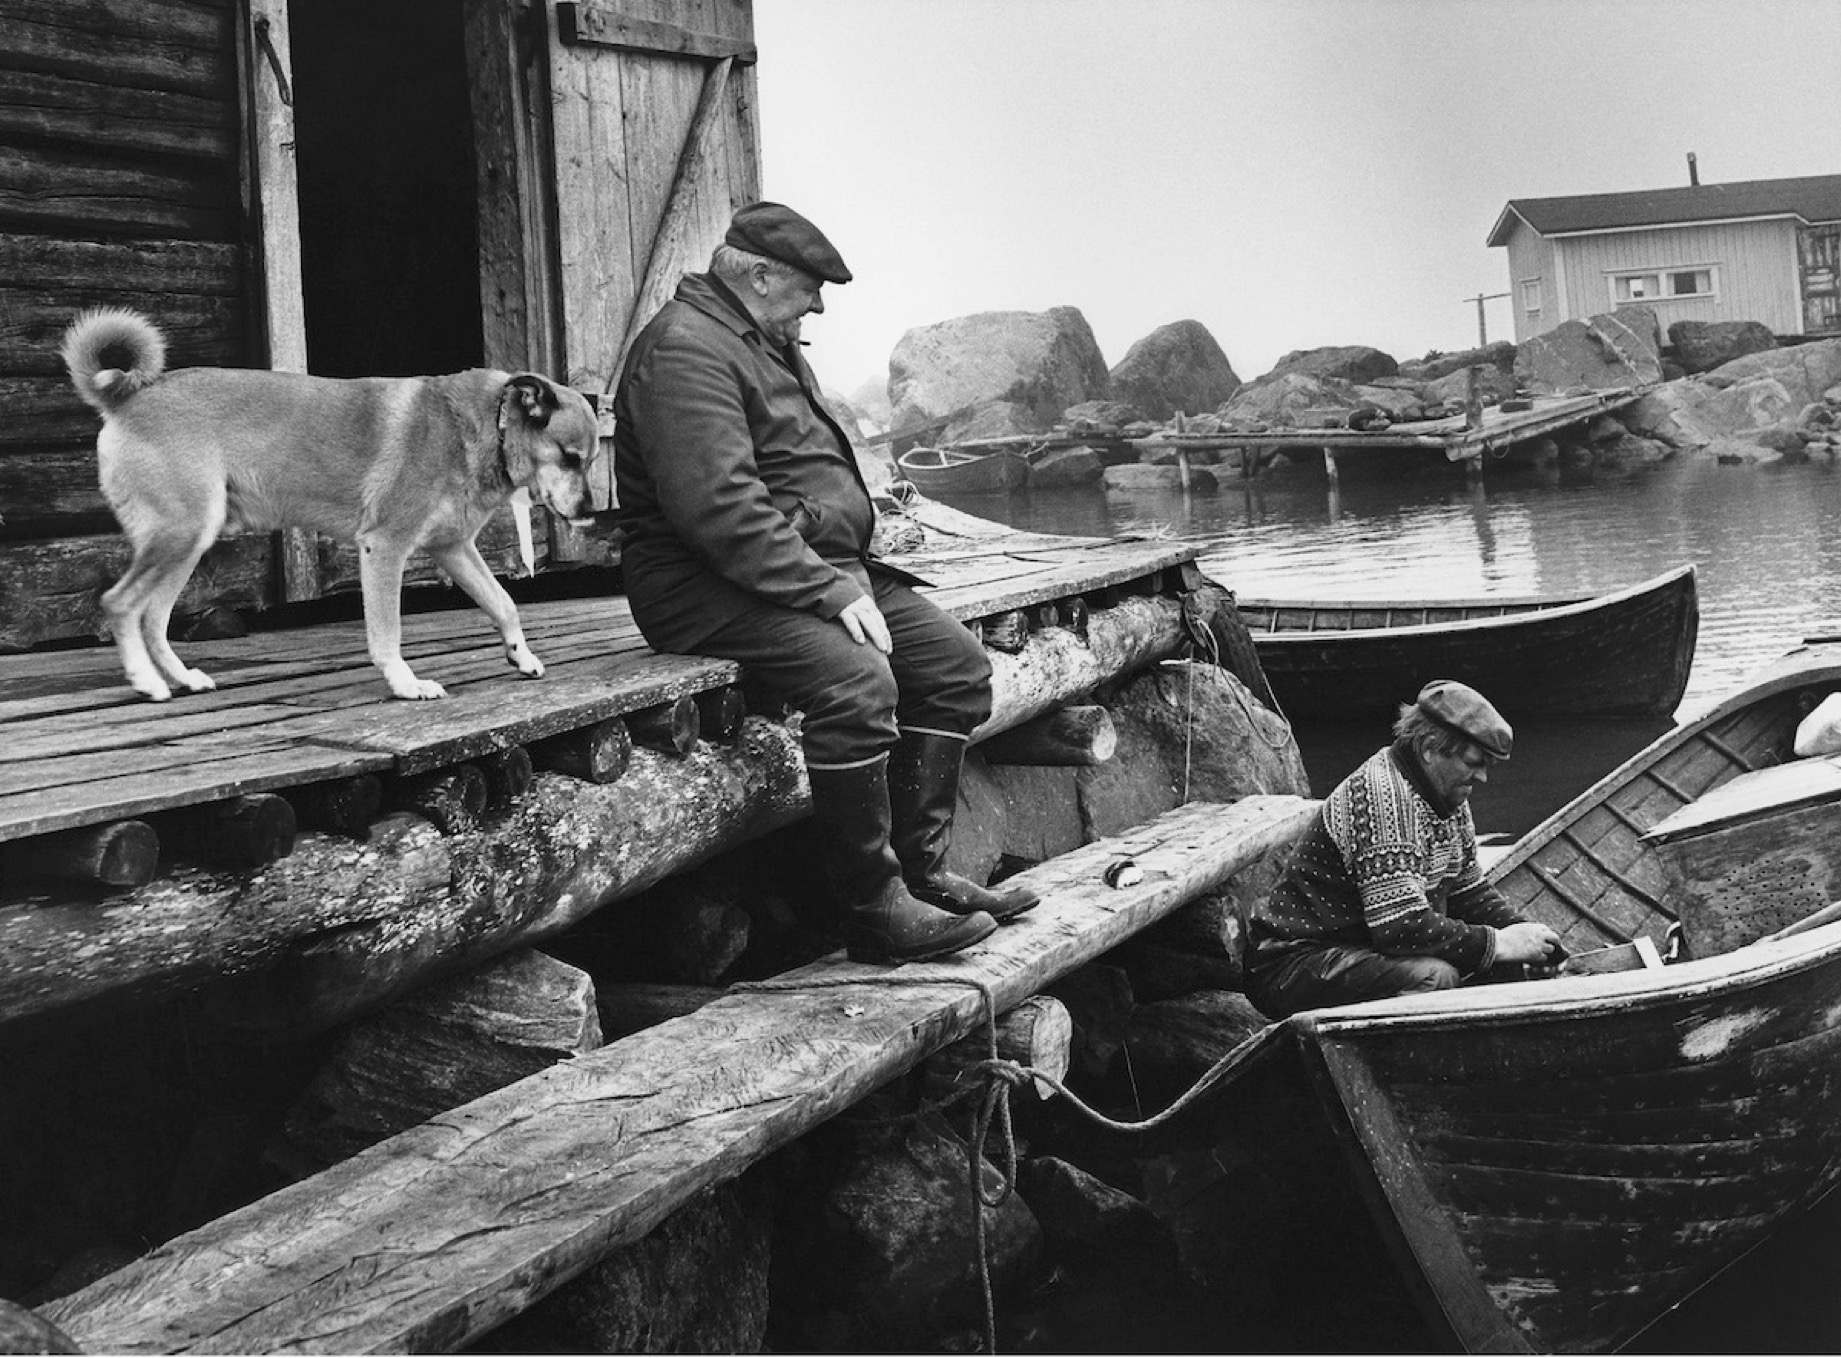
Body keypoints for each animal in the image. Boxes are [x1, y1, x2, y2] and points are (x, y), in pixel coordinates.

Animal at [61, 308, 599, 702]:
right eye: (569, 457)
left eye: (591, 459)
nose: (590, 513)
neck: (489, 425)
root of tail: (127, 399)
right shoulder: (385, 548)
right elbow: (388, 632)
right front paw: (405, 685)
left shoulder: (453, 548)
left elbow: (504, 604)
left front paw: (520, 655)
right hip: (179, 534)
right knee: (119, 604)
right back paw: (147, 682)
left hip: (189, 541)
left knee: (153, 617)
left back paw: (183, 678)